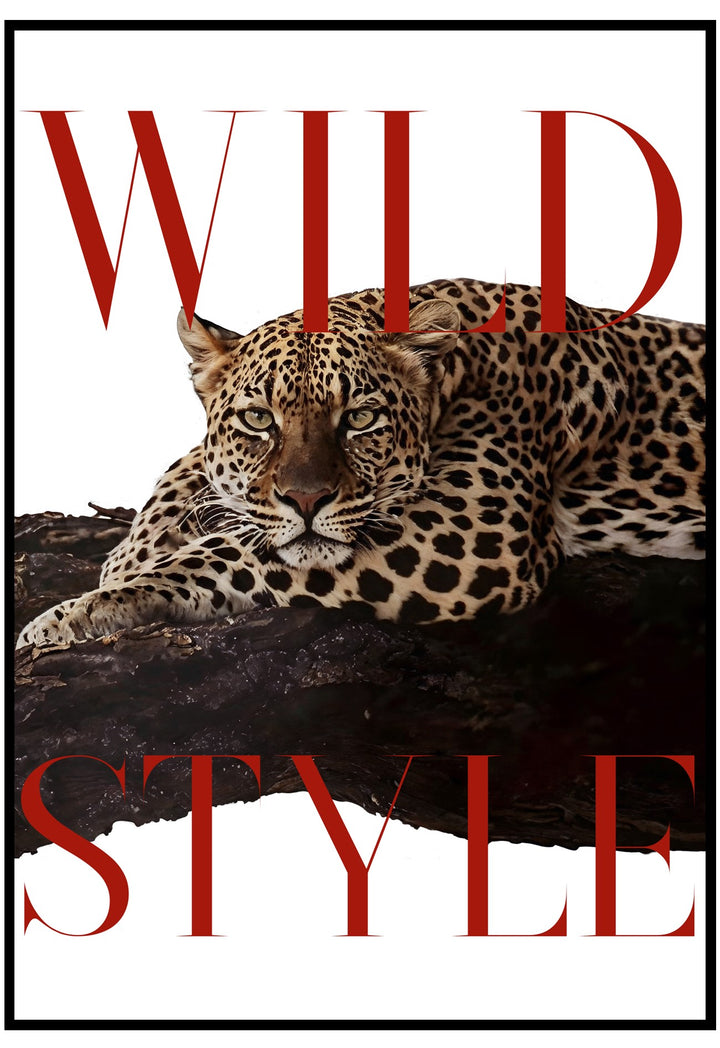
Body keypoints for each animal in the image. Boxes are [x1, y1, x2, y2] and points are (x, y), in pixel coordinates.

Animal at [17, 279, 705, 649]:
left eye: (361, 418)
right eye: (259, 419)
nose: (306, 500)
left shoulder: (472, 532)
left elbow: (231, 555)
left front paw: (77, 614)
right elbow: (190, 468)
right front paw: (129, 553)